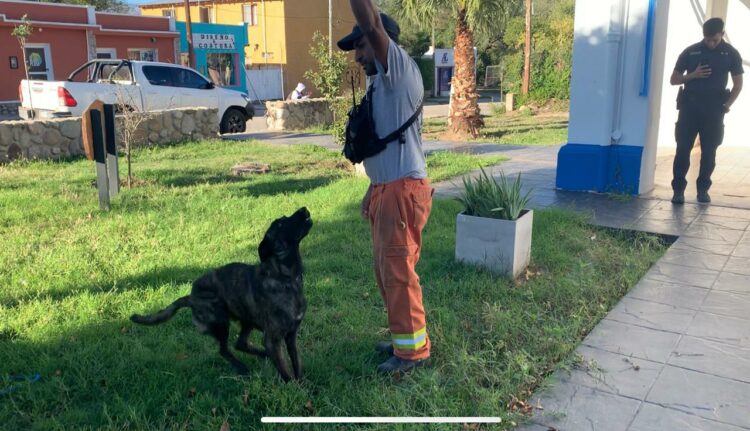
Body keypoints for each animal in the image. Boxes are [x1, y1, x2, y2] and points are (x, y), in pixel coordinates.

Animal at [131, 208, 312, 384]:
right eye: (280, 224)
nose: (303, 209)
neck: (285, 278)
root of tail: (190, 297)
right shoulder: (272, 340)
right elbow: (286, 374)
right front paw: (294, 388)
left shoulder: (291, 336)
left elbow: (297, 364)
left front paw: (303, 385)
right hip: (220, 322)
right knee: (224, 350)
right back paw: (242, 367)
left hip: (247, 319)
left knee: (240, 343)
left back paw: (261, 356)